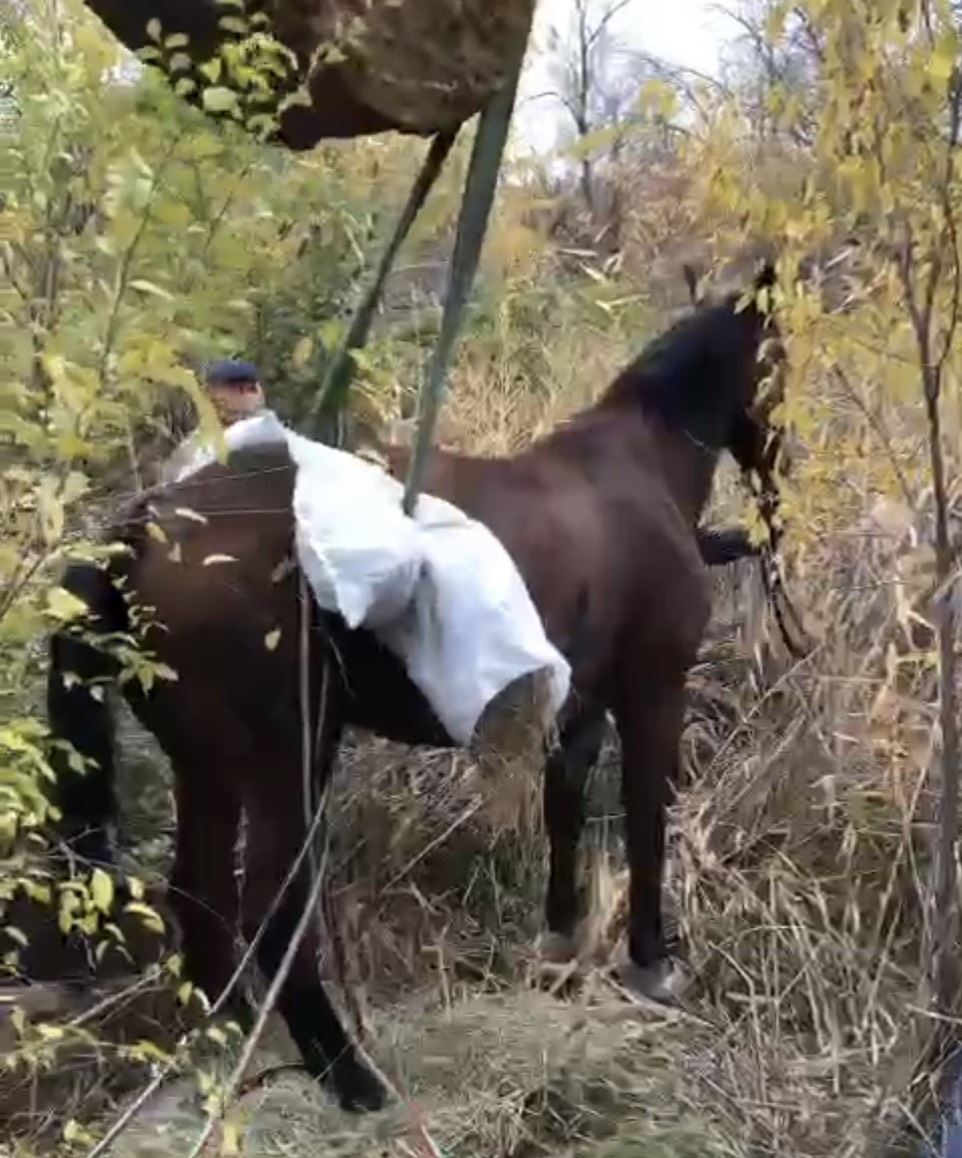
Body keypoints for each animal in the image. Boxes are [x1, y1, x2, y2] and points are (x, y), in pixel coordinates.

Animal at [41, 262, 787, 1111]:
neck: (637, 465)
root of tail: (139, 529)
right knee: (269, 909)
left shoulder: (582, 706)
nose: (778, 470)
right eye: (782, 356)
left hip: (208, 766)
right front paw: (652, 963)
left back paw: (229, 1045)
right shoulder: (653, 690)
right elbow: (646, 821)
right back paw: (351, 1079)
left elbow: (565, 811)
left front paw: (560, 944)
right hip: (284, 762)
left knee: (198, 895)